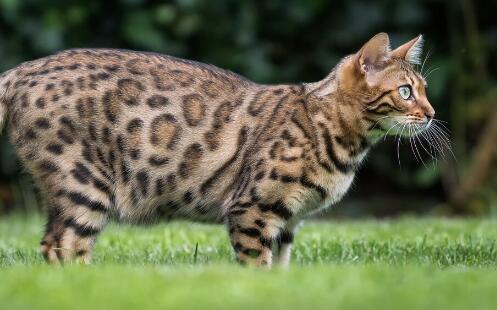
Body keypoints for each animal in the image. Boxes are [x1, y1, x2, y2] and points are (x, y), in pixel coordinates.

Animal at [0, 33, 434, 266]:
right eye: (405, 92)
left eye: (424, 89)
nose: (431, 113)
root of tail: (21, 70)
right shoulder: (252, 210)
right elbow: (256, 264)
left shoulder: (288, 222)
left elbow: (282, 270)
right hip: (84, 182)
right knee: (63, 245)